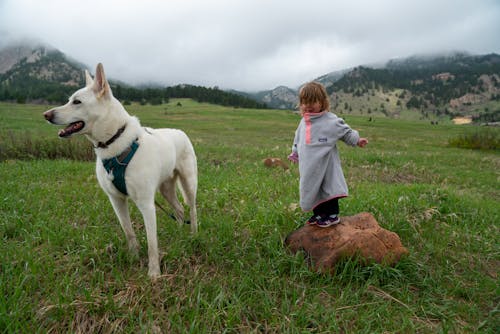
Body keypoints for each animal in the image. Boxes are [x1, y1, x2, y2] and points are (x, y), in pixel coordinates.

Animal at [44, 64, 198, 278]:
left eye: (77, 102)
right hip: (165, 188)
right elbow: (129, 231)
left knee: (192, 209)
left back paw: (193, 235)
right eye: (69, 100)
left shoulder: (146, 204)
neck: (113, 142)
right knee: (179, 210)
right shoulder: (116, 200)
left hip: (189, 184)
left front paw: (154, 273)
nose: (46, 115)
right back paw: (179, 233)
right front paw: (133, 257)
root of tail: (180, 132)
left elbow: (152, 243)